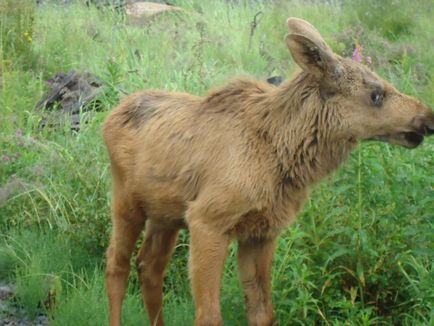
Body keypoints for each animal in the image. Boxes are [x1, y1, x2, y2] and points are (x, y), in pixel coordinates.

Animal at [102, 18, 434, 326]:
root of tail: (110, 116)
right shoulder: (208, 220)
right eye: (376, 94)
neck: (282, 155)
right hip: (126, 202)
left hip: (165, 215)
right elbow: (209, 315)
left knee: (149, 267)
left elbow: (262, 312)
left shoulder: (262, 231)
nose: (427, 118)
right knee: (116, 266)